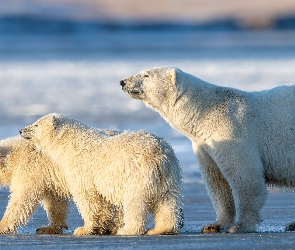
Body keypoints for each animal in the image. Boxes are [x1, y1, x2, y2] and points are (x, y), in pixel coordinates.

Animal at [19, 114, 183, 235]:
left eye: (36, 124)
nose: (21, 130)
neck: (72, 144)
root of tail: (160, 154)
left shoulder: (82, 170)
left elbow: (88, 199)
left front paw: (84, 229)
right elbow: (103, 202)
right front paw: (102, 227)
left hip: (138, 175)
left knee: (134, 203)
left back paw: (128, 230)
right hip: (169, 176)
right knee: (167, 201)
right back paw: (162, 229)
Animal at [120, 67, 295, 234]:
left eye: (146, 75)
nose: (123, 81)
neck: (206, 112)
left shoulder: (233, 131)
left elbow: (244, 177)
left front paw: (240, 226)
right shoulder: (205, 145)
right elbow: (217, 181)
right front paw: (214, 225)